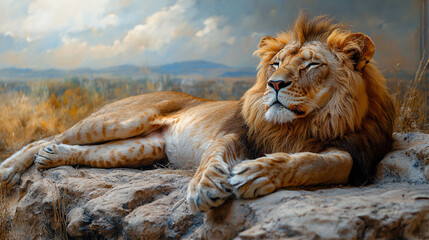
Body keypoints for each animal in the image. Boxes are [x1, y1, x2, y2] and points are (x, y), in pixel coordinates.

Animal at [0, 15, 392, 212]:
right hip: (120, 120)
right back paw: (9, 167)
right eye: (276, 63)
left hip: (140, 147)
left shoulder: (356, 152)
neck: (301, 124)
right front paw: (205, 187)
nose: (275, 84)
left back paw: (52, 157)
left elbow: (318, 163)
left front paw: (259, 173)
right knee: (45, 137)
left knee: (77, 150)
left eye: (311, 64)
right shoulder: (236, 134)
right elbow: (214, 158)